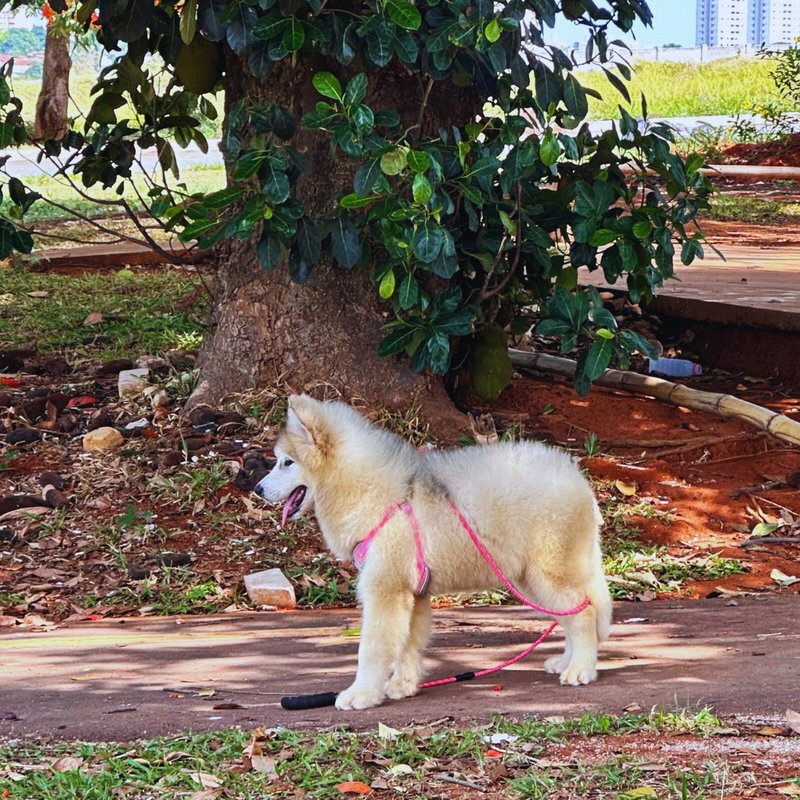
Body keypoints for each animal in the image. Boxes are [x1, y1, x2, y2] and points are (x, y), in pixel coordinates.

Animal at [256, 396, 612, 708]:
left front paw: (362, 694)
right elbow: (408, 645)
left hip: (549, 576)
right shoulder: (414, 595)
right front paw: (403, 685)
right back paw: (567, 661)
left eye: (287, 463)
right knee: (575, 614)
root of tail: (577, 478)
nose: (257, 489)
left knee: (583, 615)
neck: (378, 497)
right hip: (531, 580)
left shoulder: (386, 592)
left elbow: (372, 649)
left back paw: (580, 670)